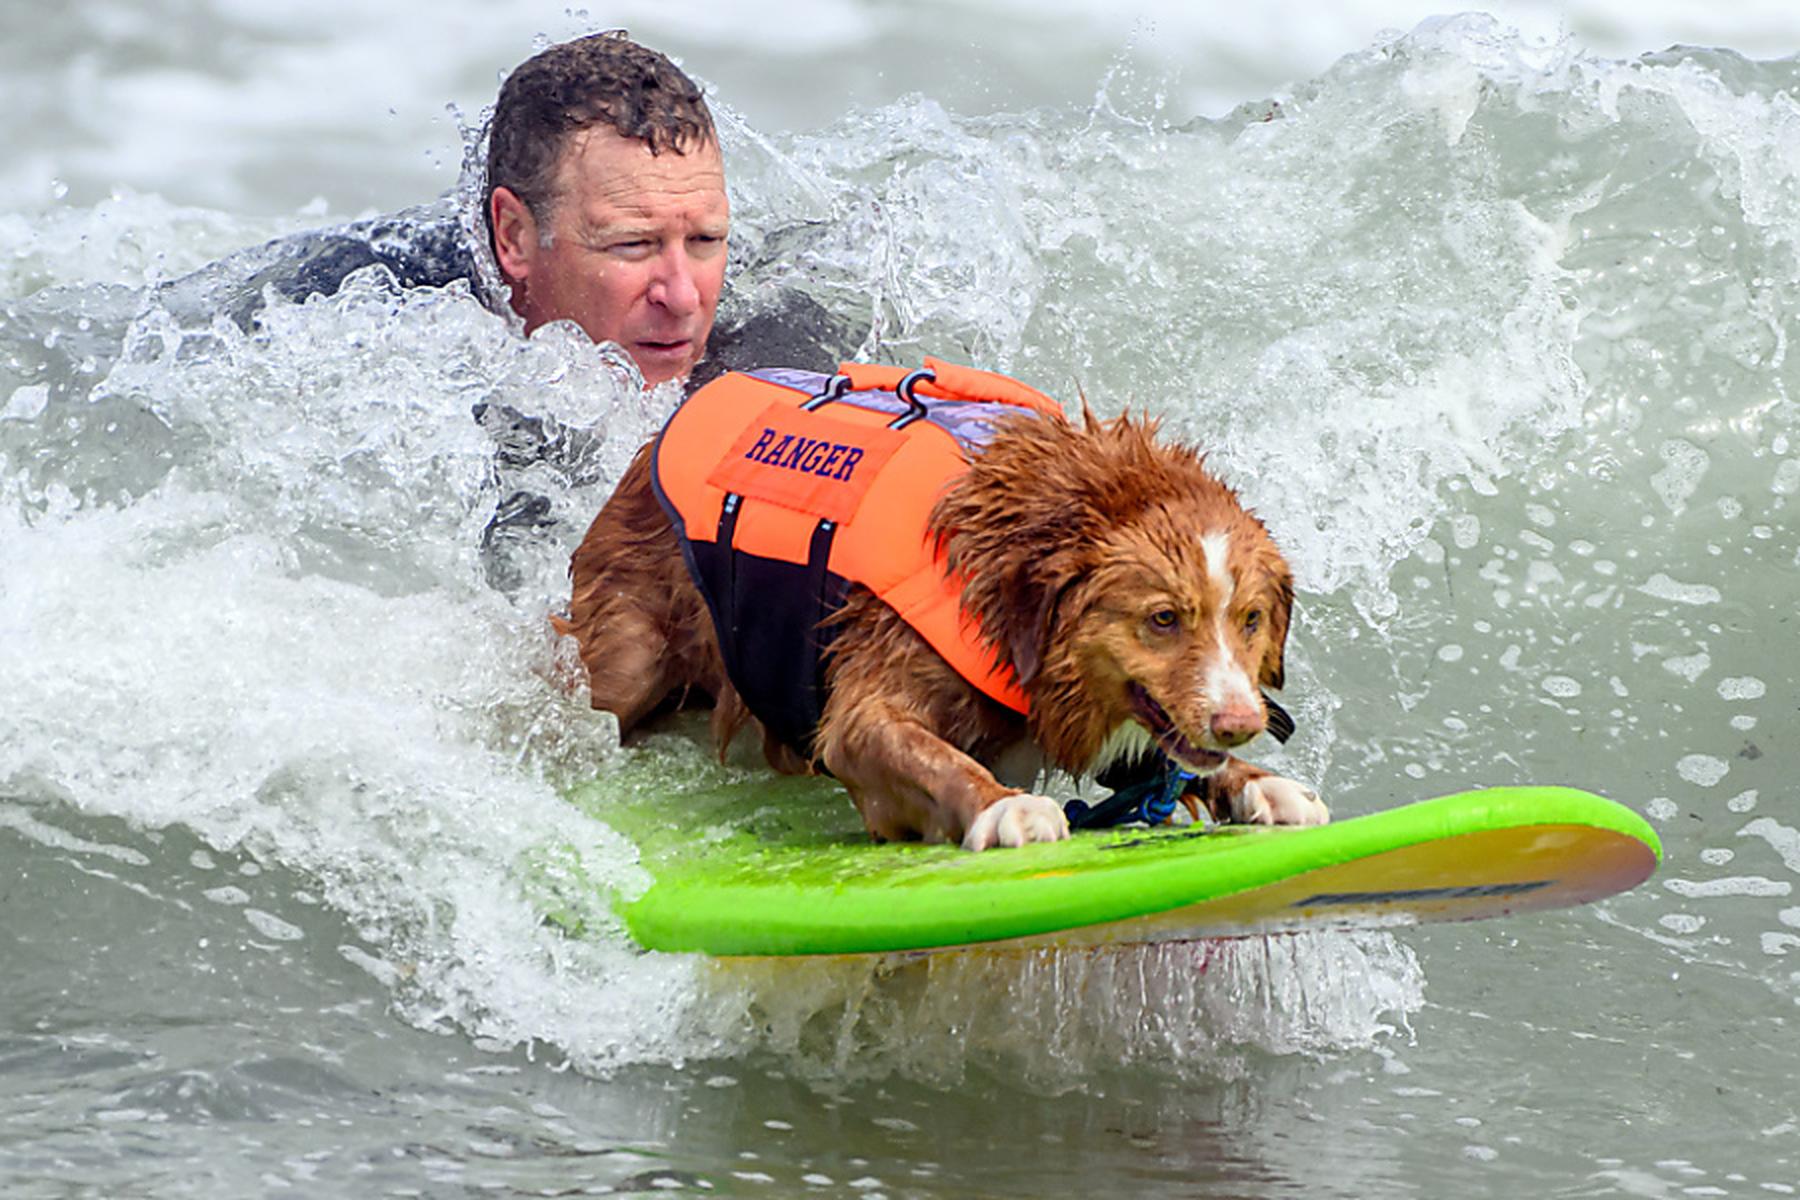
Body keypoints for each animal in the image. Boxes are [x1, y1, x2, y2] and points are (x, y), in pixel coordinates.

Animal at [554, 370, 1332, 849]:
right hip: (630, 652)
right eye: (1164, 618)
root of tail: (650, 444)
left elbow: (1175, 764)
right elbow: (933, 757)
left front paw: (1264, 785)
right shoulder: (868, 702)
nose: (1240, 724)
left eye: (1251, 620)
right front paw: (1003, 805)